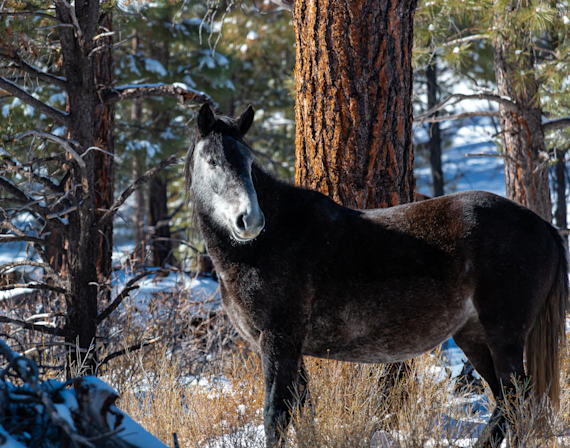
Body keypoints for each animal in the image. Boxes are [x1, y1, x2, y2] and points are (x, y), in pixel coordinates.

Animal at [184, 103, 564, 446]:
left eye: (249, 163)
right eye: (212, 161)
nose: (250, 221)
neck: (270, 243)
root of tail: (543, 226)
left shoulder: (279, 341)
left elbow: (275, 414)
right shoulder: (289, 347)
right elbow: (303, 411)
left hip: (503, 334)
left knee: (516, 400)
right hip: (473, 335)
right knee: (505, 403)